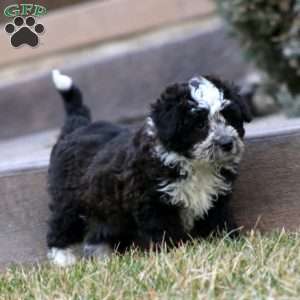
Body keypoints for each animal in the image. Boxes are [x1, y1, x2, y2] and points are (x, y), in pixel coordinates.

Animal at [47, 71, 251, 268]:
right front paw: (173, 253)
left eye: (230, 117)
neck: (196, 165)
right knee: (61, 226)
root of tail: (76, 128)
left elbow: (219, 220)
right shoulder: (153, 202)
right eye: (200, 124)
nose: (227, 143)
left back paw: (103, 257)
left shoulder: (215, 198)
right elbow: (164, 230)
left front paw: (229, 241)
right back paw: (63, 259)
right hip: (68, 201)